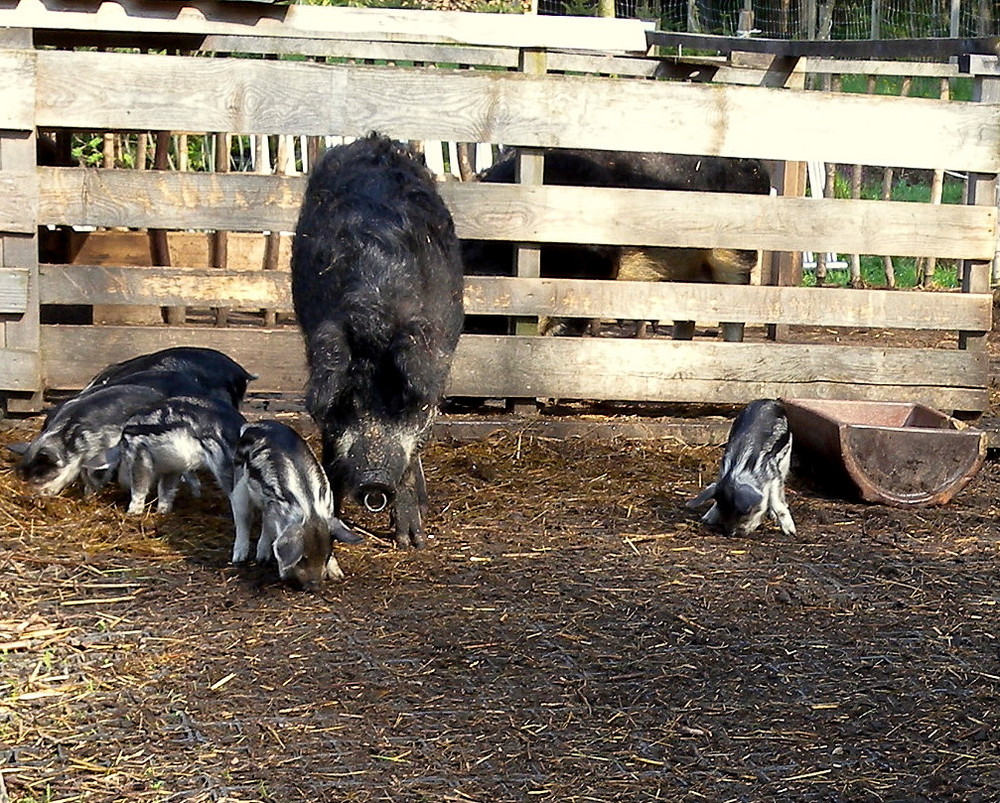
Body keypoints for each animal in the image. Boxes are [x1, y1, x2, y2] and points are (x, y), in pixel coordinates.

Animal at [288, 132, 462, 548]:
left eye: (402, 402)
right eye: (346, 402)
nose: (373, 483)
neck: (376, 313)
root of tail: (373, 140)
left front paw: (412, 542)